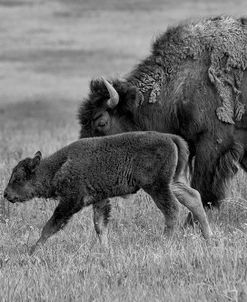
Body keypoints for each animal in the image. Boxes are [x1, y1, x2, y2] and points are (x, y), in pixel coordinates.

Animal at [3, 131, 212, 254]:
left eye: (18, 178)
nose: (5, 194)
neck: (58, 166)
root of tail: (170, 138)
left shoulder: (71, 201)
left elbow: (50, 226)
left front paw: (32, 251)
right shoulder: (100, 199)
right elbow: (100, 225)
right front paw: (105, 250)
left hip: (157, 186)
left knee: (172, 210)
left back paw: (164, 242)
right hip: (173, 182)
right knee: (193, 198)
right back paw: (209, 237)